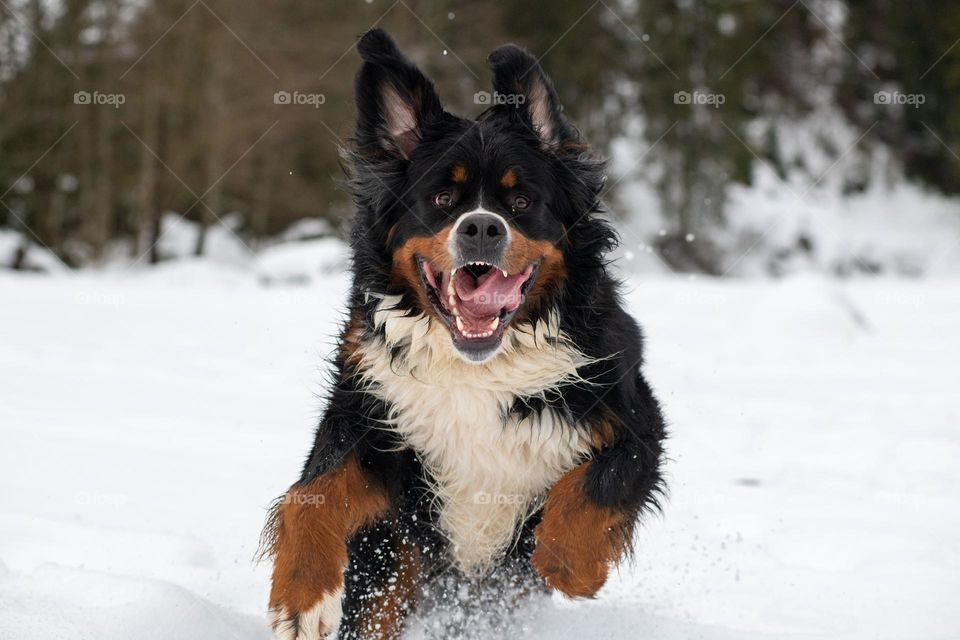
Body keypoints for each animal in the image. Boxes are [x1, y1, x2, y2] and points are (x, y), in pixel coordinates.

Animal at [262, 28, 668, 640]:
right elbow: (312, 493)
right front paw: (301, 594)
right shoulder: (372, 421)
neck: (477, 368)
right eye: (442, 199)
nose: (480, 228)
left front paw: (570, 566)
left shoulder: (634, 420)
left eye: (521, 200)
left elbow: (597, 488)